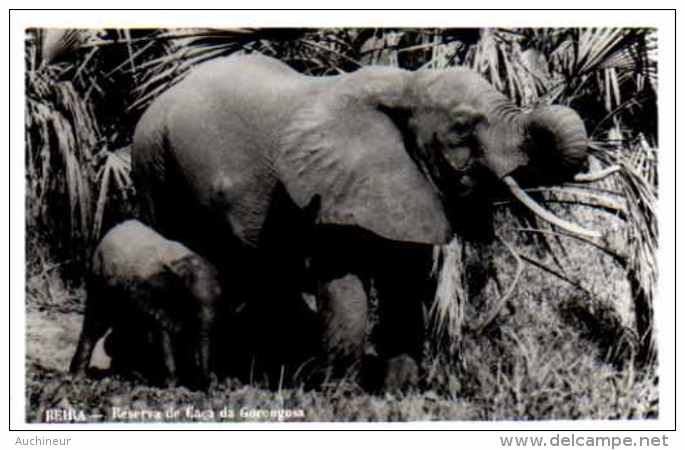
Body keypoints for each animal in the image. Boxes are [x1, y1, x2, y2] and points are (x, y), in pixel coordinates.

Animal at [69, 221, 220, 390]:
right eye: (189, 300)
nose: (209, 384)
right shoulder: (151, 294)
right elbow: (163, 333)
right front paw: (171, 385)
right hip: (99, 279)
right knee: (96, 324)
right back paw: (78, 377)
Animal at [130, 52, 608, 390]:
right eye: (461, 128)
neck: (406, 85)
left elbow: (405, 285)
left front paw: (398, 393)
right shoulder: (327, 193)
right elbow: (345, 287)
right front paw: (341, 395)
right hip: (153, 166)